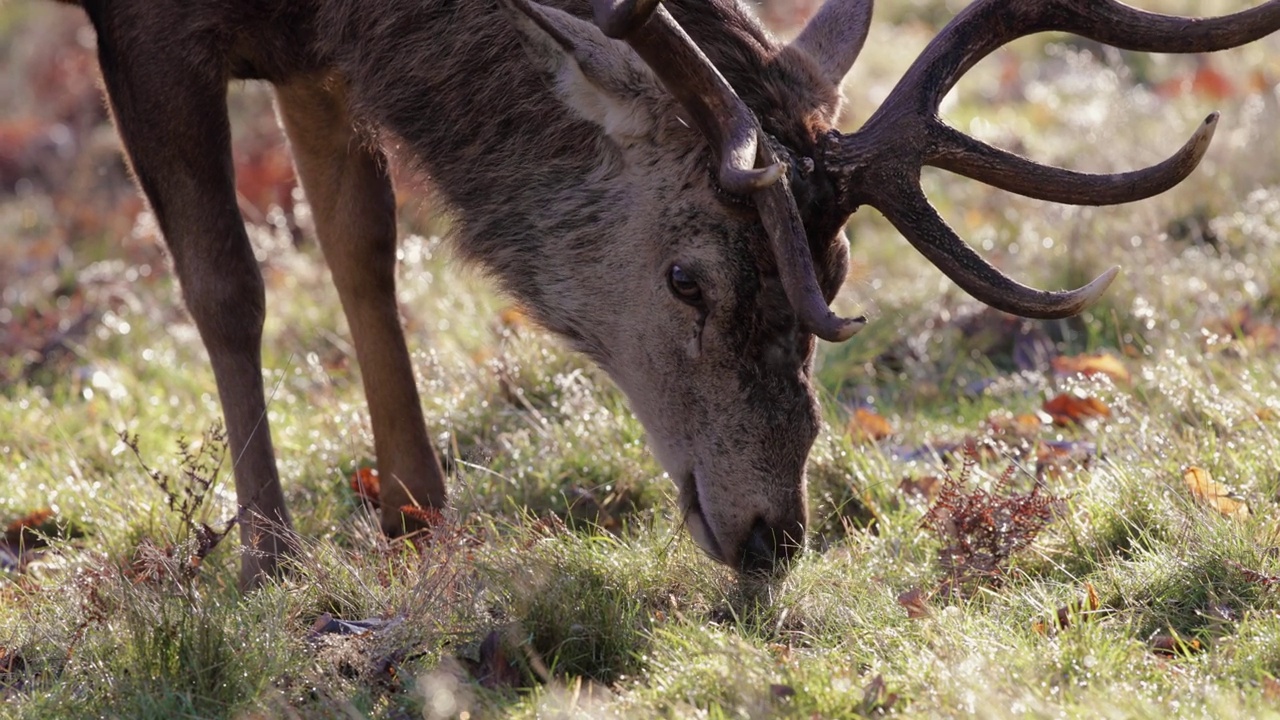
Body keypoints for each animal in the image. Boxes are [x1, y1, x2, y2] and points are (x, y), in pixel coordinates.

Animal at [55, 0, 1280, 586]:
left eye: (836, 273)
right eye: (685, 276)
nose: (773, 534)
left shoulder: (315, 48)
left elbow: (363, 245)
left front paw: (415, 514)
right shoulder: (146, 27)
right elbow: (228, 283)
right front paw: (269, 554)